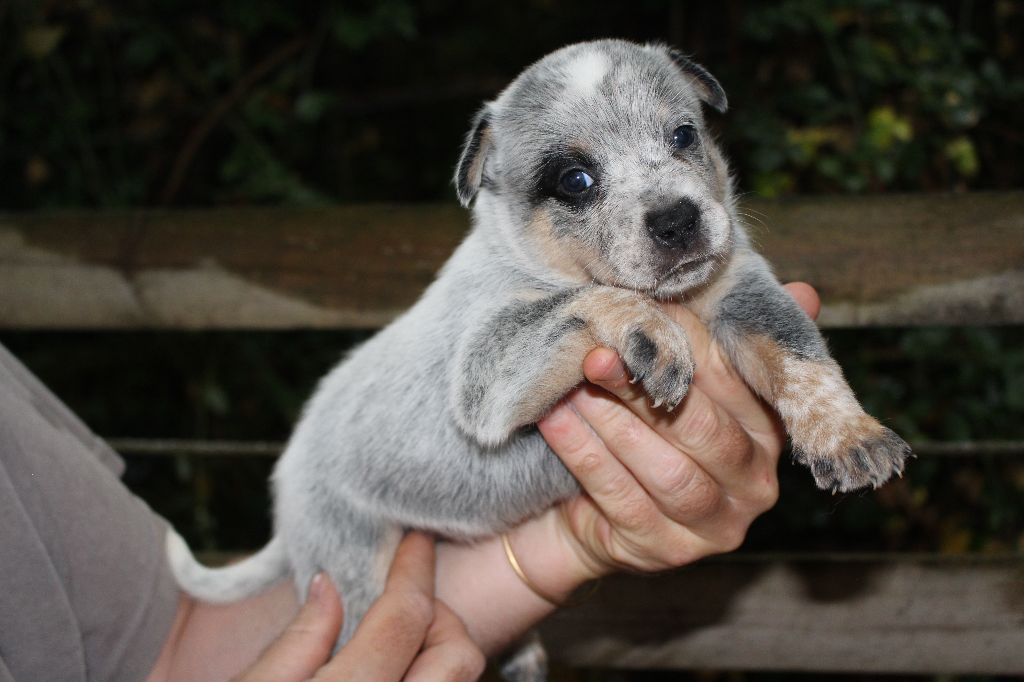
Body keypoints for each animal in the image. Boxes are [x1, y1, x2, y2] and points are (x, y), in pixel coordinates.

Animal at [167, 38, 911, 666]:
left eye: (683, 135)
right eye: (574, 180)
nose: (677, 220)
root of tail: (287, 478)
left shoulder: (741, 289)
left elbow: (800, 358)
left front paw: (847, 433)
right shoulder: (485, 374)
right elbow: (580, 302)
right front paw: (648, 330)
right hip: (348, 564)